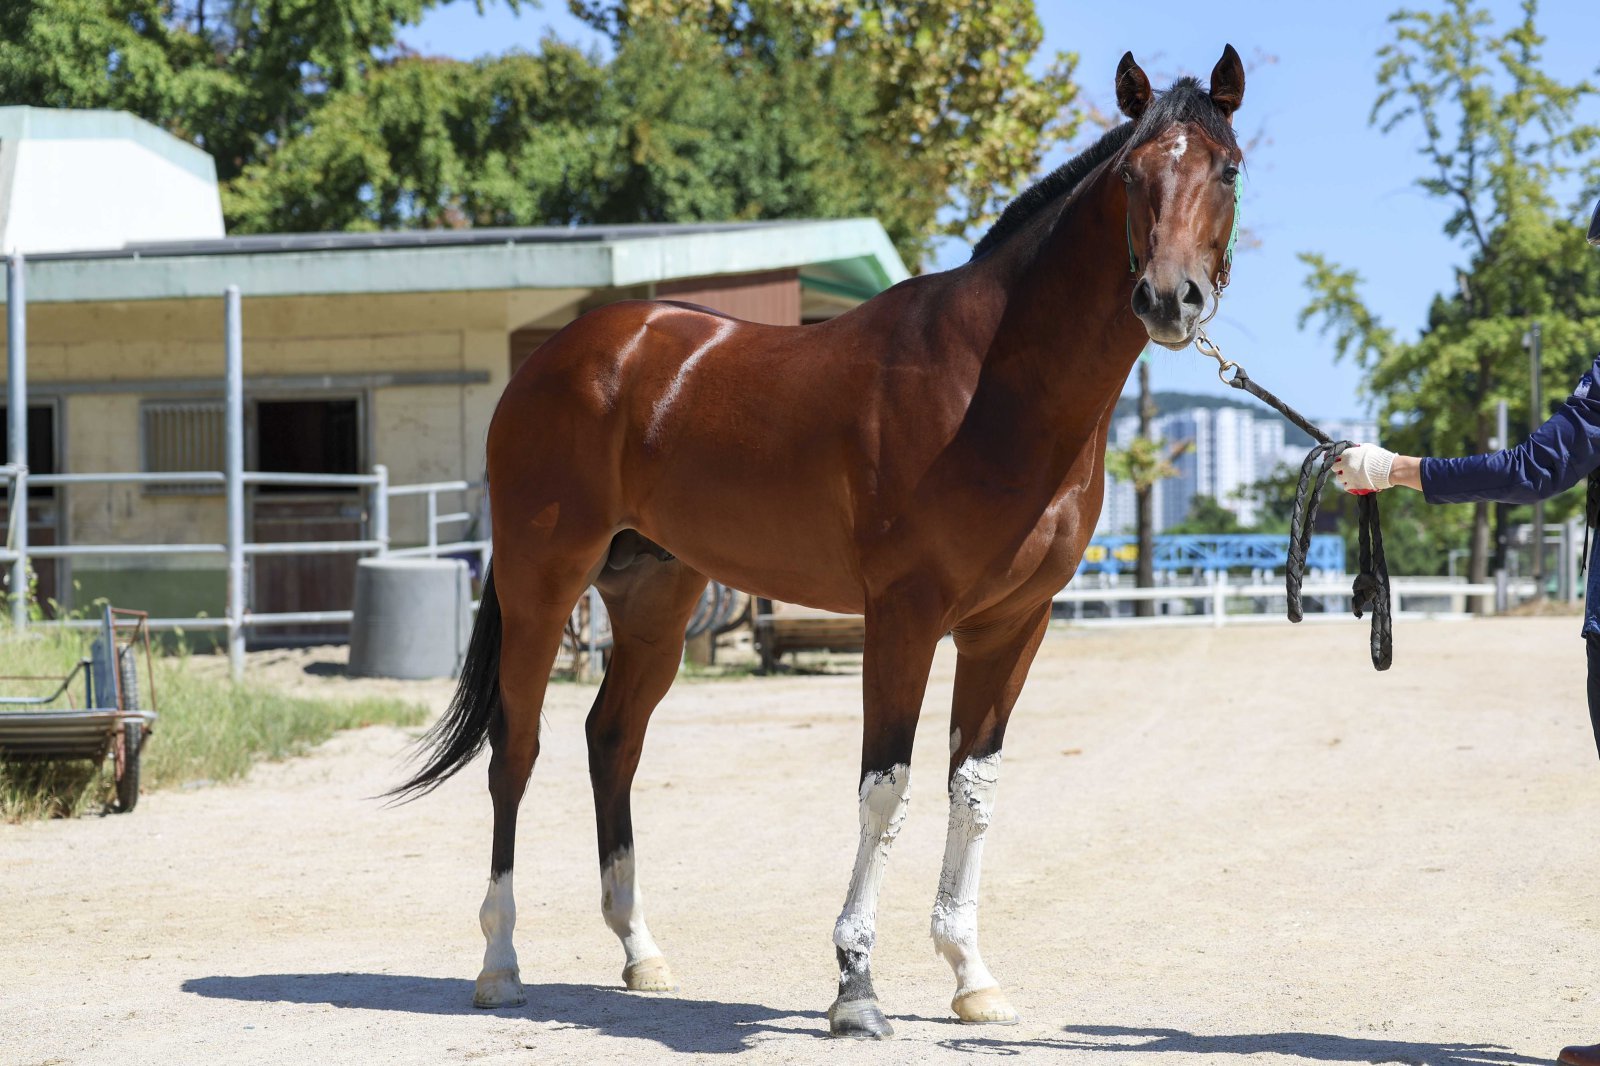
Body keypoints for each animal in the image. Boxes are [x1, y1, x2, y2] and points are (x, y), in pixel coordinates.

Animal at [392, 45, 1247, 1039]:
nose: (1170, 299)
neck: (992, 388)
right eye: (1132, 176)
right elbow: (887, 788)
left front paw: (971, 974)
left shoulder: (1010, 627)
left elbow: (973, 790)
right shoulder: (905, 617)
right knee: (516, 749)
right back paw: (499, 963)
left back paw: (641, 953)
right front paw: (856, 986)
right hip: (542, 584)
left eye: (1228, 170)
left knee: (612, 741)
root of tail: (557, 356)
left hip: (654, 601)